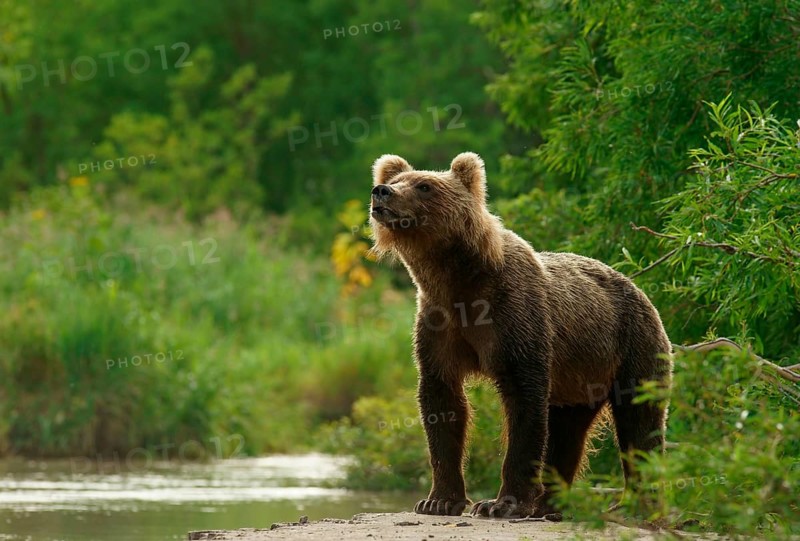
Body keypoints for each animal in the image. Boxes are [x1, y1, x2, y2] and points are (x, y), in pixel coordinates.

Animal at [369, 152, 673, 519]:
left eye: (424, 185)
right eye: (396, 179)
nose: (381, 192)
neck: (458, 281)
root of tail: (644, 294)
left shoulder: (516, 319)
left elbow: (524, 403)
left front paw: (500, 503)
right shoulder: (438, 324)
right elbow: (442, 401)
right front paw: (438, 500)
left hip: (633, 344)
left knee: (639, 419)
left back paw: (634, 505)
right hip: (581, 378)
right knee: (568, 430)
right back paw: (550, 505)